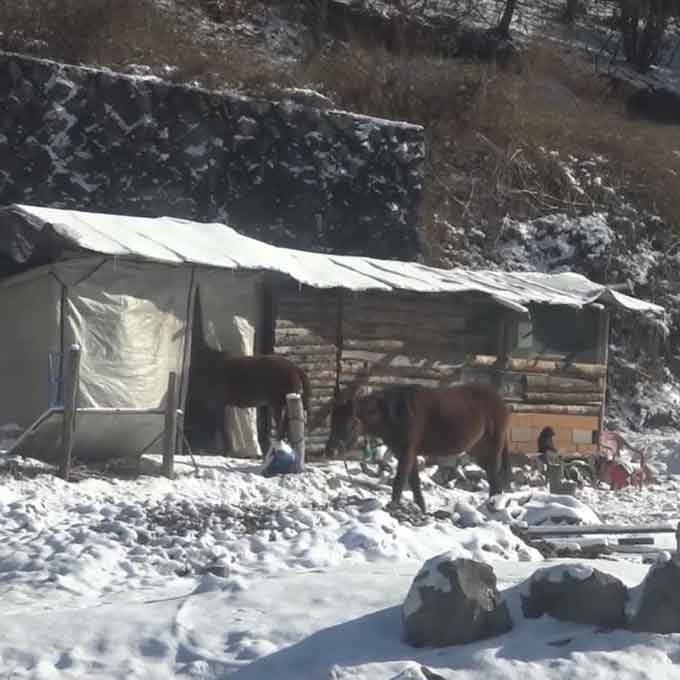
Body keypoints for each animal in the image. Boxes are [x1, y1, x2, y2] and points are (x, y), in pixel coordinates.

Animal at [324, 386, 510, 512]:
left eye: (349, 424)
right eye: (332, 422)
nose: (330, 451)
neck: (395, 415)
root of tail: (500, 402)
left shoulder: (407, 452)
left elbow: (399, 481)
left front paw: (393, 506)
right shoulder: (407, 453)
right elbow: (414, 483)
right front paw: (422, 509)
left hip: (492, 449)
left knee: (494, 479)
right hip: (477, 451)